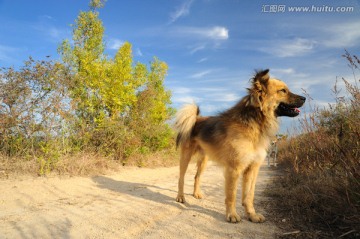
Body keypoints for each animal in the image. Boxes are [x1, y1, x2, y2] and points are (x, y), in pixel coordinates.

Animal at [173, 69, 306, 222]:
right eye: (283, 90)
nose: (304, 98)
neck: (254, 123)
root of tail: (196, 119)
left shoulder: (252, 168)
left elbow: (249, 195)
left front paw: (252, 215)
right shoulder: (234, 169)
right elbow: (232, 195)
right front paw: (232, 215)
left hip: (204, 160)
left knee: (197, 177)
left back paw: (196, 193)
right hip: (186, 157)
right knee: (181, 178)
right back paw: (180, 197)